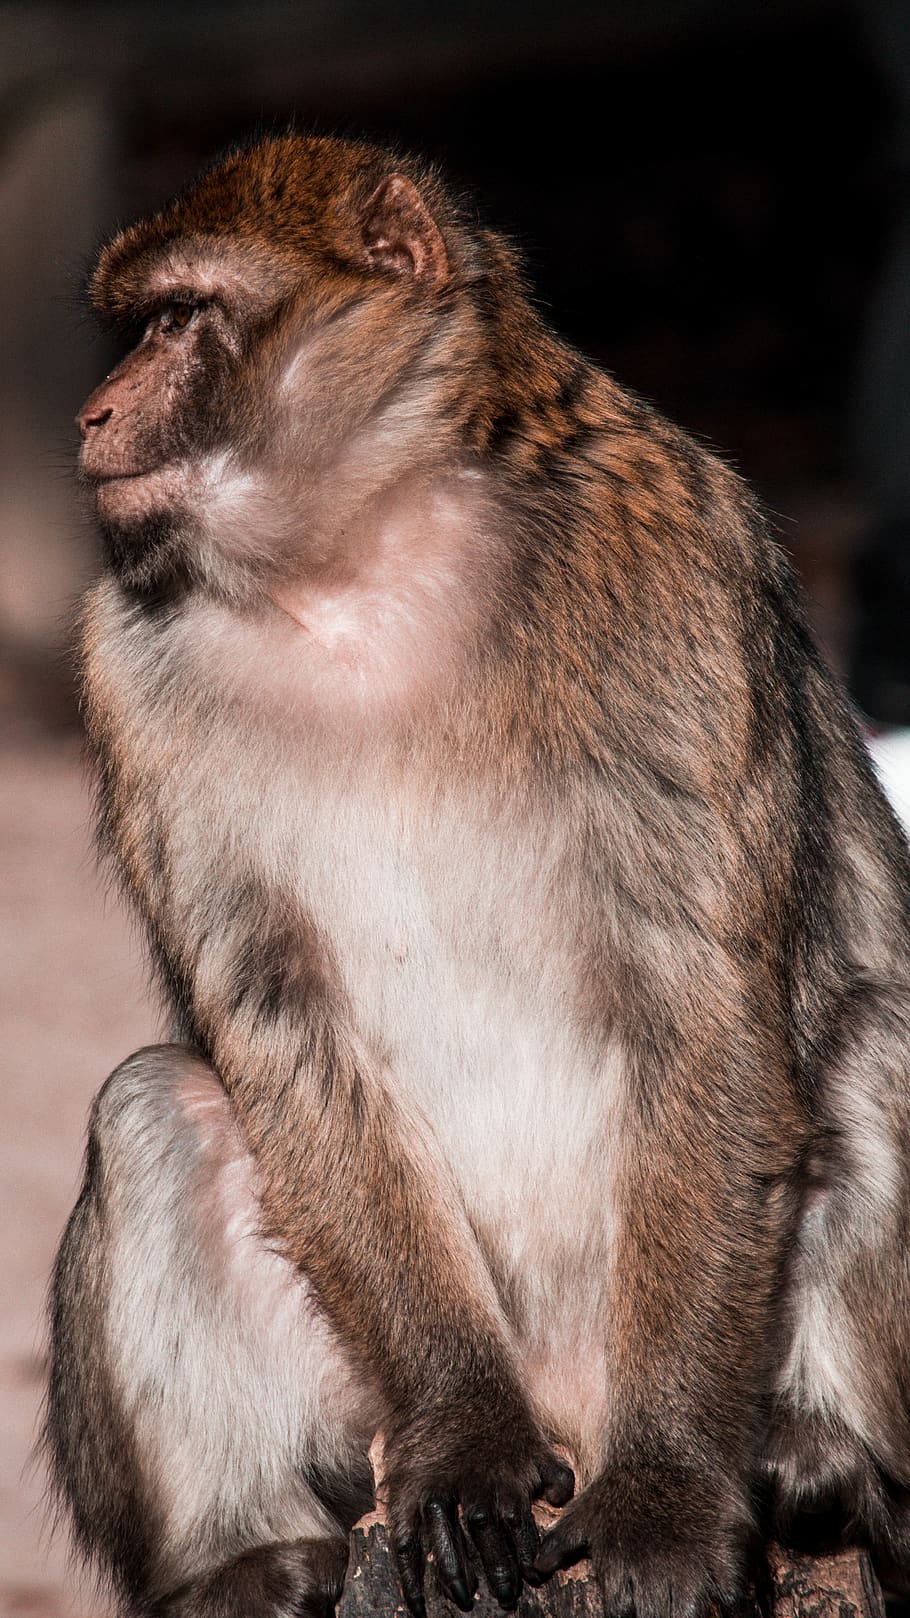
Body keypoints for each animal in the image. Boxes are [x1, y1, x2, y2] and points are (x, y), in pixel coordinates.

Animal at [45, 130, 910, 1618]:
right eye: (139, 325)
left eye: (177, 318)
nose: (97, 414)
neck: (361, 560)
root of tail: (574, 1400)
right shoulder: (128, 659)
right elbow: (281, 1020)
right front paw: (464, 1442)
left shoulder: (668, 568)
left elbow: (699, 1000)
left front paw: (670, 1495)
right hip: (351, 1412)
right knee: (156, 1103)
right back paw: (242, 1556)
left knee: (873, 1027)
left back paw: (823, 1459)